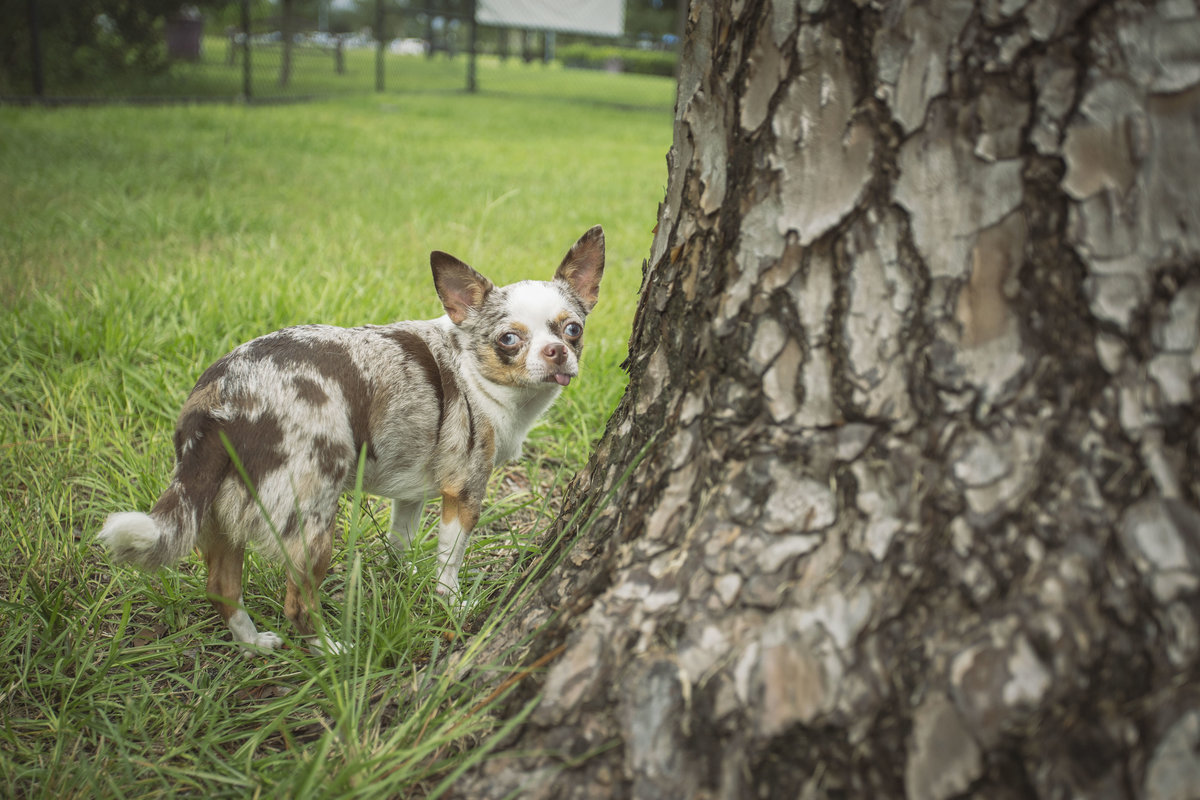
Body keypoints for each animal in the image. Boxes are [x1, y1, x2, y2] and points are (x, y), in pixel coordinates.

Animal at [98, 225, 604, 652]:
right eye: (508, 340)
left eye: (573, 329)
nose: (556, 351)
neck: (474, 368)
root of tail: (223, 401)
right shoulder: (464, 493)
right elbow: (450, 561)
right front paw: (450, 602)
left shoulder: (412, 491)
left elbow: (401, 541)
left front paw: (406, 577)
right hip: (313, 523)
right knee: (297, 603)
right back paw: (330, 649)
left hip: (220, 513)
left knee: (221, 588)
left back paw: (253, 643)